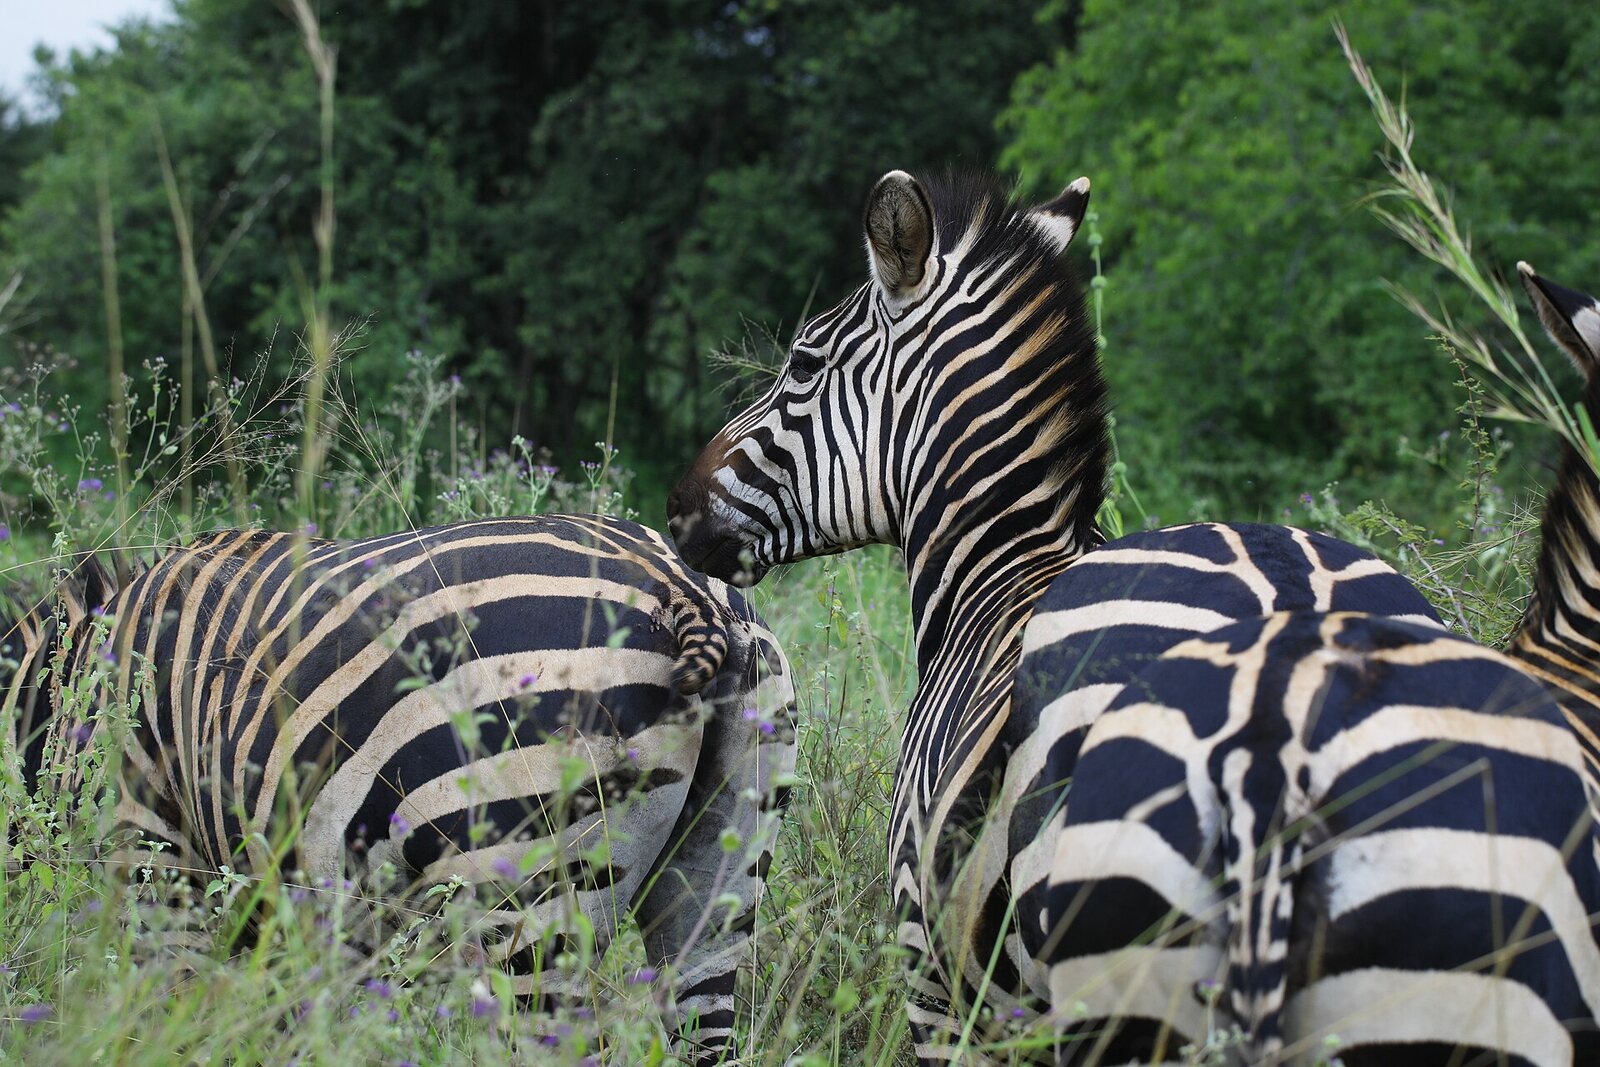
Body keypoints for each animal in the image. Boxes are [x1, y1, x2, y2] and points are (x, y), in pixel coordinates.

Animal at [0, 513, 796, 1064]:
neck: (62, 691)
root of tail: (681, 588)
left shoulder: (154, 855)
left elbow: (170, 1017)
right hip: (717, 881)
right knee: (705, 1024)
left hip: (527, 907)